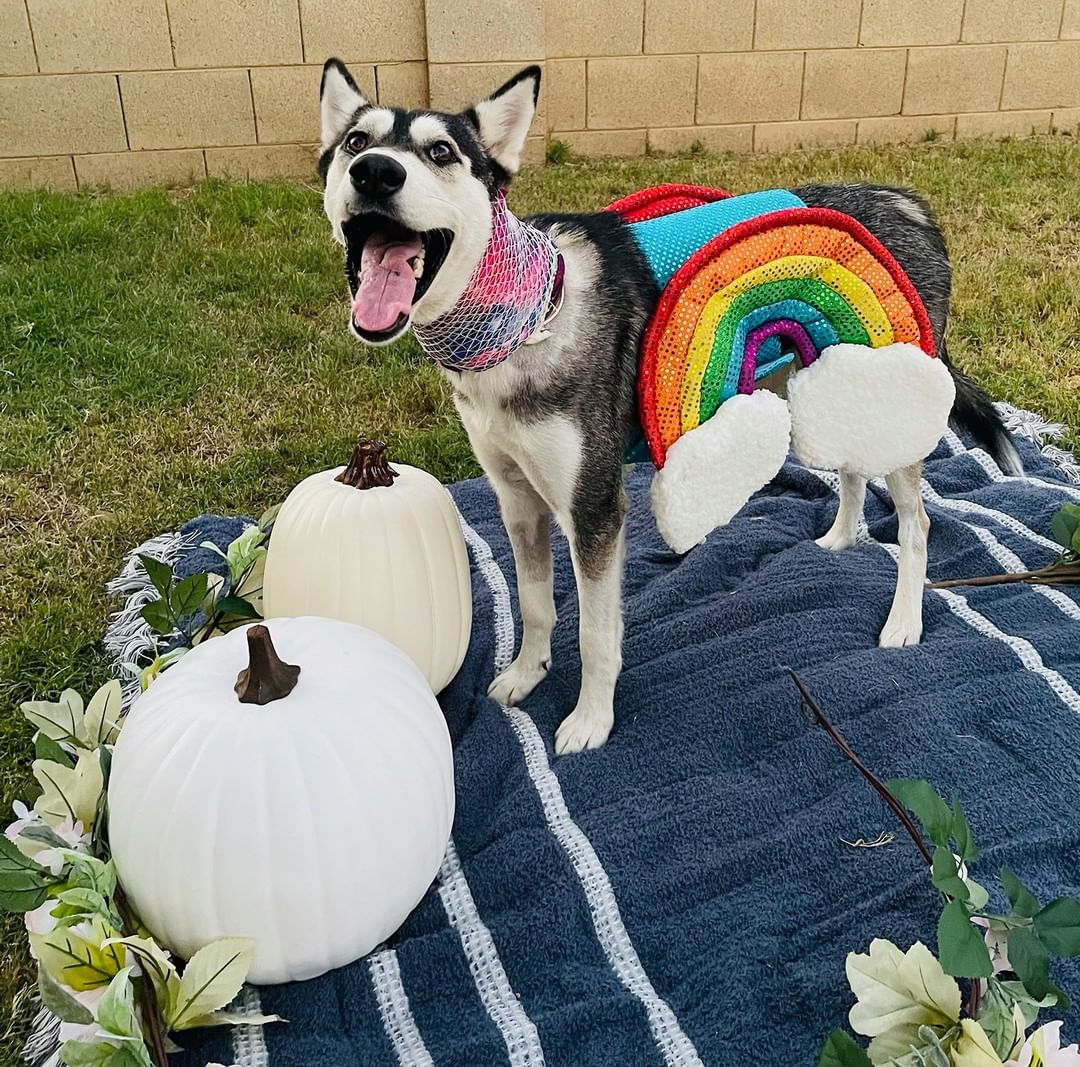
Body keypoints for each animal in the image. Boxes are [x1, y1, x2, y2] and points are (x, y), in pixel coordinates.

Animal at [317, 58, 1019, 755]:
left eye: (440, 151)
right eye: (356, 142)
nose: (375, 172)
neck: (526, 321)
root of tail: (910, 202)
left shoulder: (594, 511)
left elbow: (596, 636)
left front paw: (590, 722)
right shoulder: (517, 499)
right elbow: (535, 603)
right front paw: (525, 674)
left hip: (893, 391)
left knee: (916, 524)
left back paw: (904, 620)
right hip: (829, 383)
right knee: (851, 469)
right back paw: (841, 538)